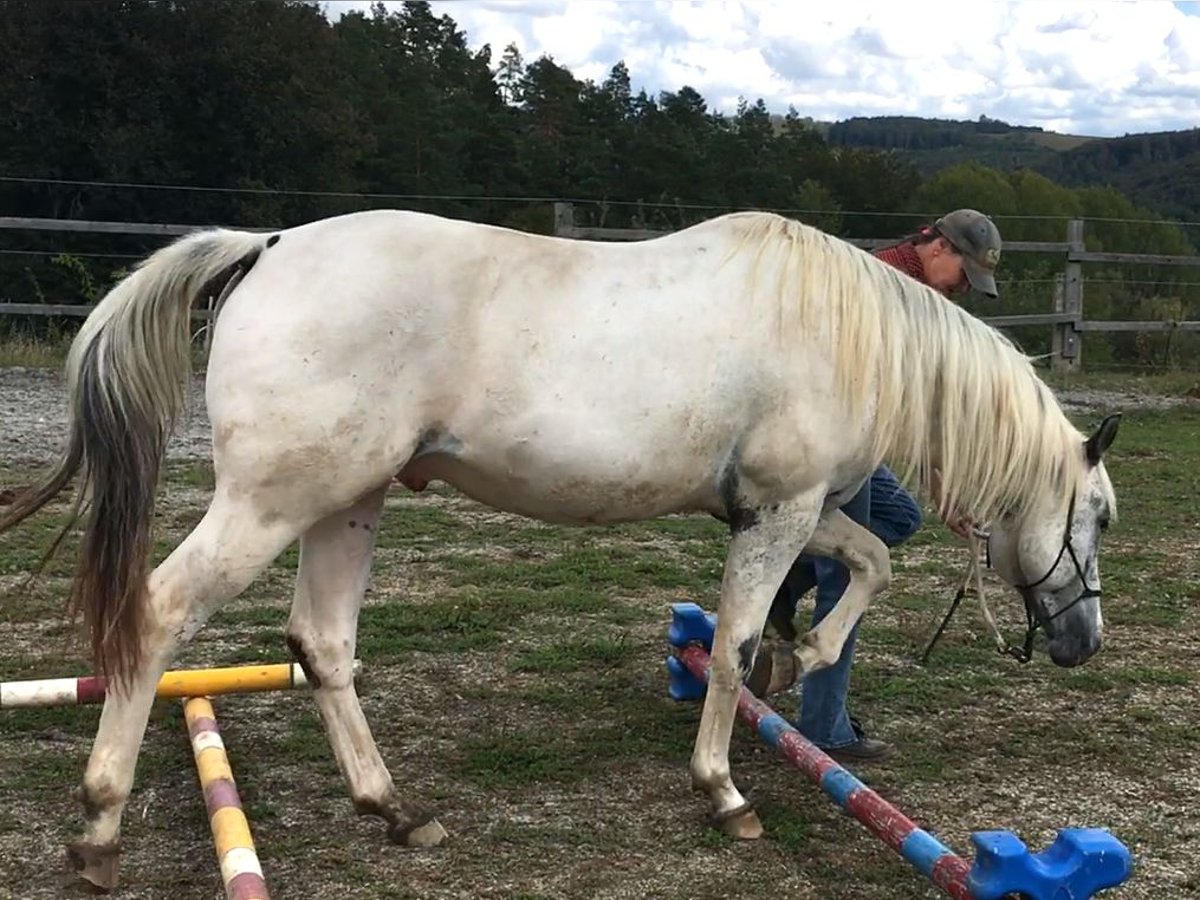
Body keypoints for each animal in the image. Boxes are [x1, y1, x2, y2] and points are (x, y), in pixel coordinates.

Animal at [2, 207, 1123, 892]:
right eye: (1101, 517)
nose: (1085, 646)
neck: (847, 329)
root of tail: (267, 247)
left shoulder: (795, 510)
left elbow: (869, 566)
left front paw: (809, 650)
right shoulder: (780, 511)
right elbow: (736, 646)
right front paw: (725, 790)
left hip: (348, 501)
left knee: (321, 643)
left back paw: (393, 810)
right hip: (275, 502)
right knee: (157, 616)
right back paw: (98, 830)